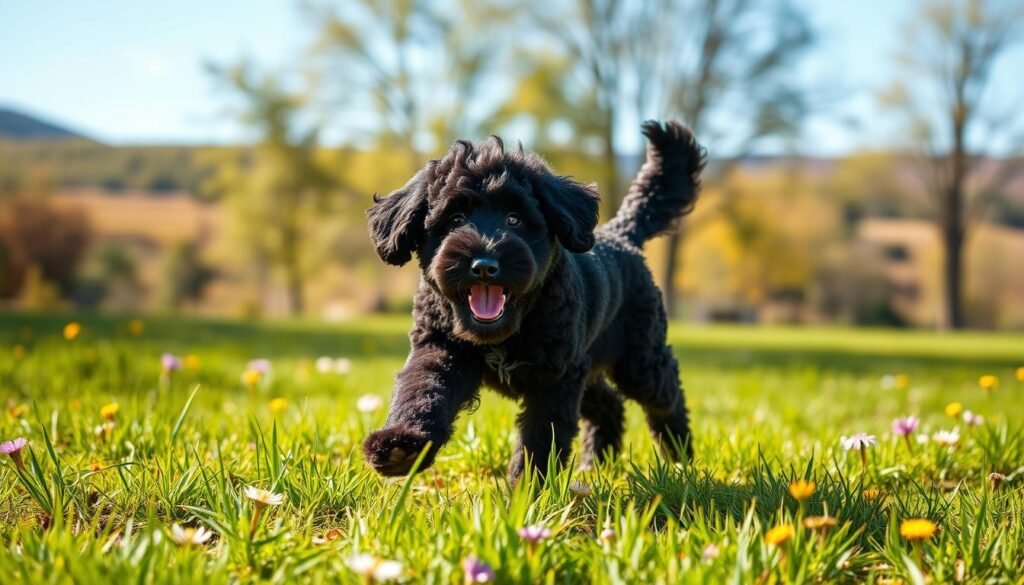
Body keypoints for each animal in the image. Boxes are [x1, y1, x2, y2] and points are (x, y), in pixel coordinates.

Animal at [364, 120, 708, 485]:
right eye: (455, 219)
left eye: (514, 219)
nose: (484, 265)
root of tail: (623, 233)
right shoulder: (440, 347)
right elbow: (422, 389)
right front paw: (401, 446)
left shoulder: (554, 380)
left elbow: (541, 437)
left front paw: (527, 489)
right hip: (585, 365)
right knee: (609, 402)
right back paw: (596, 463)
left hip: (639, 361)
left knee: (667, 394)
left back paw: (678, 455)